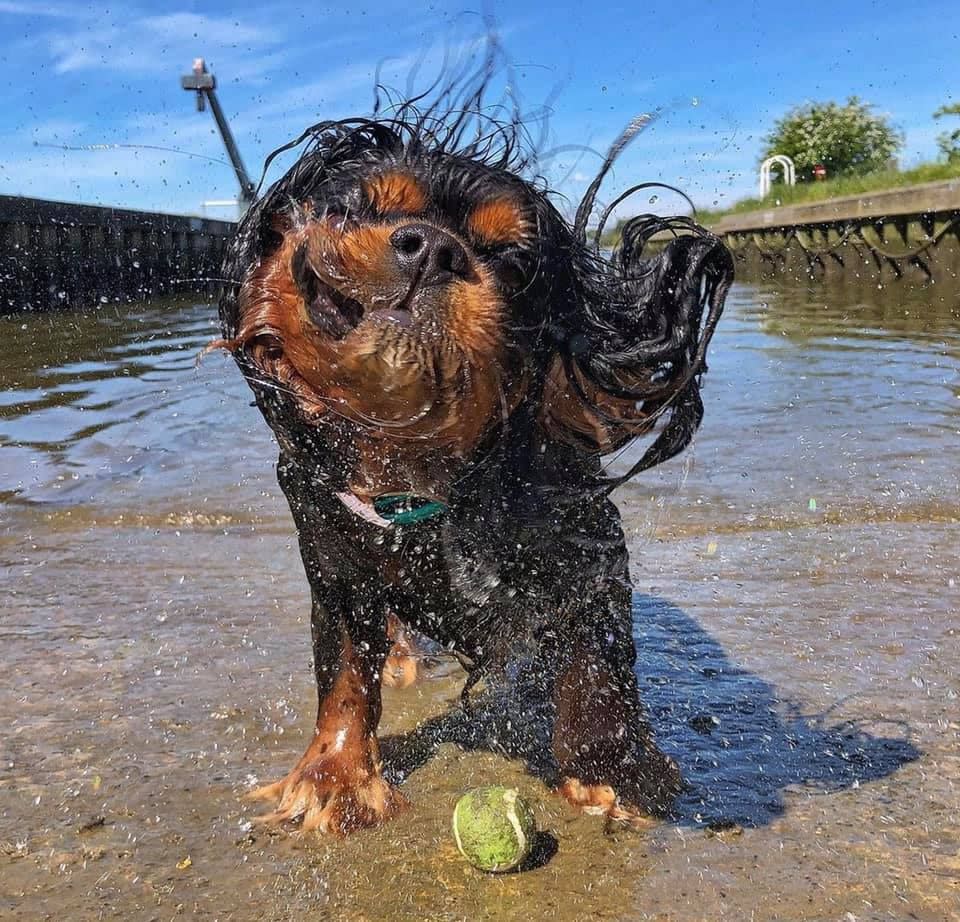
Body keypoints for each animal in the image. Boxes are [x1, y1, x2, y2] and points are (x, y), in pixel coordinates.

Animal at [214, 75, 732, 832]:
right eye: (353, 207)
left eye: (512, 260)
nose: (431, 247)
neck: (414, 461)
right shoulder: (331, 556)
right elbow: (342, 669)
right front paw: (336, 775)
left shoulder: (585, 541)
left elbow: (599, 657)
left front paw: (611, 768)